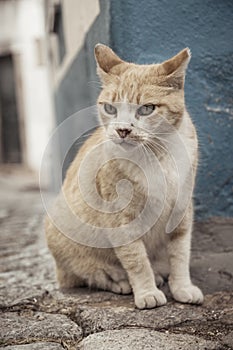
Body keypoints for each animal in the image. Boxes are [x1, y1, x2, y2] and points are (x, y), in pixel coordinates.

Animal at [44, 43, 203, 308]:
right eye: (110, 108)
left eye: (147, 109)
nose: (122, 130)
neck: (157, 156)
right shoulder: (121, 220)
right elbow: (136, 260)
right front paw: (147, 292)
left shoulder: (181, 211)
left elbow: (180, 255)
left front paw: (182, 288)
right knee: (91, 274)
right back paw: (120, 281)